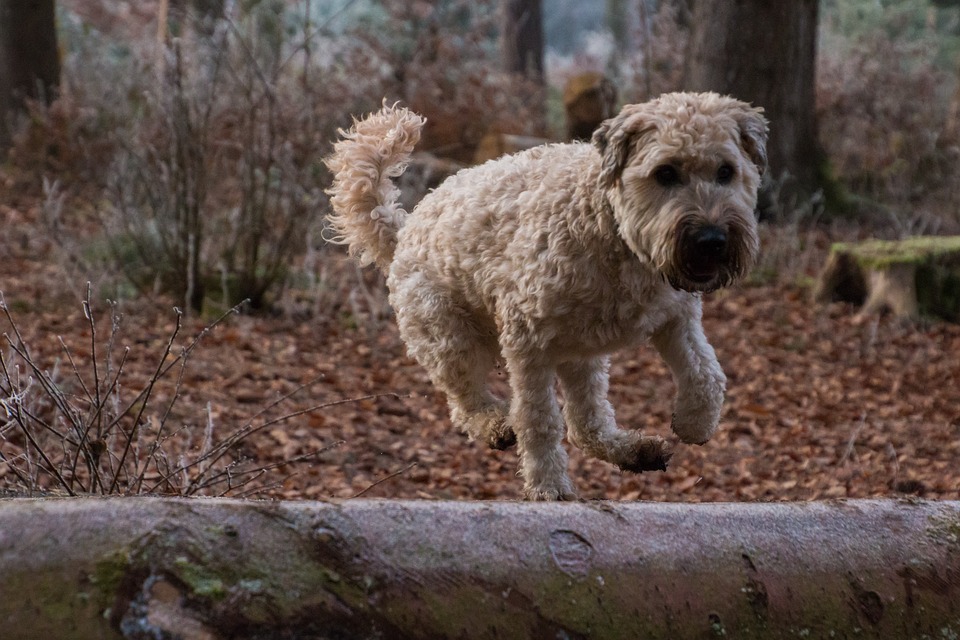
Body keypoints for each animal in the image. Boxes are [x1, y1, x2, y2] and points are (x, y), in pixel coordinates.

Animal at [326, 91, 768, 500]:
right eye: (665, 172)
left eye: (726, 171)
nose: (711, 240)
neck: (610, 228)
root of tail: (404, 229)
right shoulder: (527, 342)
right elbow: (538, 419)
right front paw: (548, 487)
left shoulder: (676, 316)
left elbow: (706, 372)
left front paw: (695, 423)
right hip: (449, 336)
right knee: (468, 404)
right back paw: (496, 425)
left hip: (581, 353)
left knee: (587, 424)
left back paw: (634, 450)